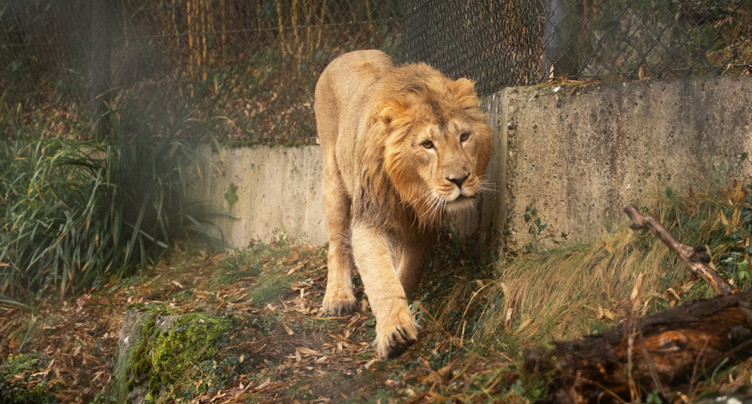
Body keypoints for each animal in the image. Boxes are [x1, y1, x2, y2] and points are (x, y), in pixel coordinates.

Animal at [314, 50, 493, 359]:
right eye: (427, 144)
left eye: (464, 137)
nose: (459, 179)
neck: (411, 192)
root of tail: (348, 53)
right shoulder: (370, 217)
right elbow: (381, 277)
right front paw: (394, 332)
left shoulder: (423, 227)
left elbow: (406, 271)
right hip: (333, 177)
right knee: (337, 242)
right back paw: (338, 297)